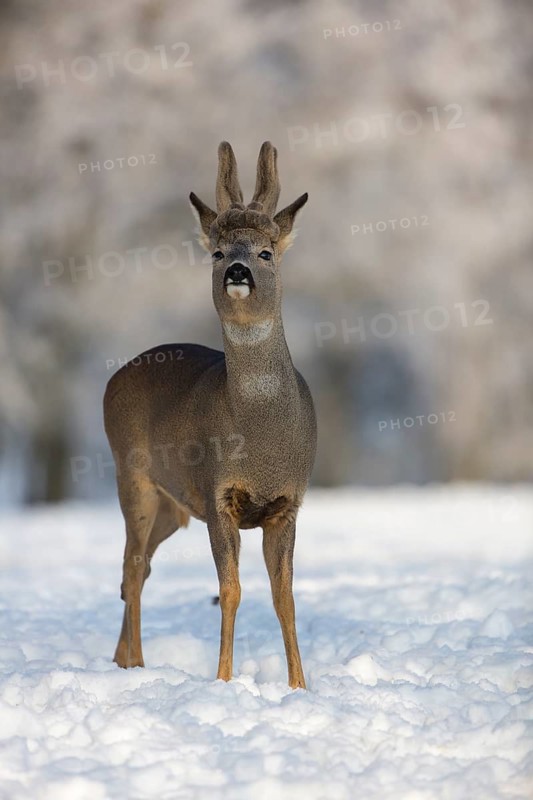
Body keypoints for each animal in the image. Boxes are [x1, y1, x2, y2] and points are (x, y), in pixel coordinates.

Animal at [103, 141, 316, 689]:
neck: (260, 437)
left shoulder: (289, 502)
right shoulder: (217, 493)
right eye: (218, 252)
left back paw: (121, 659)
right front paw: (223, 681)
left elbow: (285, 596)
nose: (238, 271)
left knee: (135, 570)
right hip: (132, 477)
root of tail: (114, 378)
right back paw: (137, 664)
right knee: (132, 568)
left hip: (171, 506)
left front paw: (299, 686)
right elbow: (232, 590)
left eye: (265, 252)